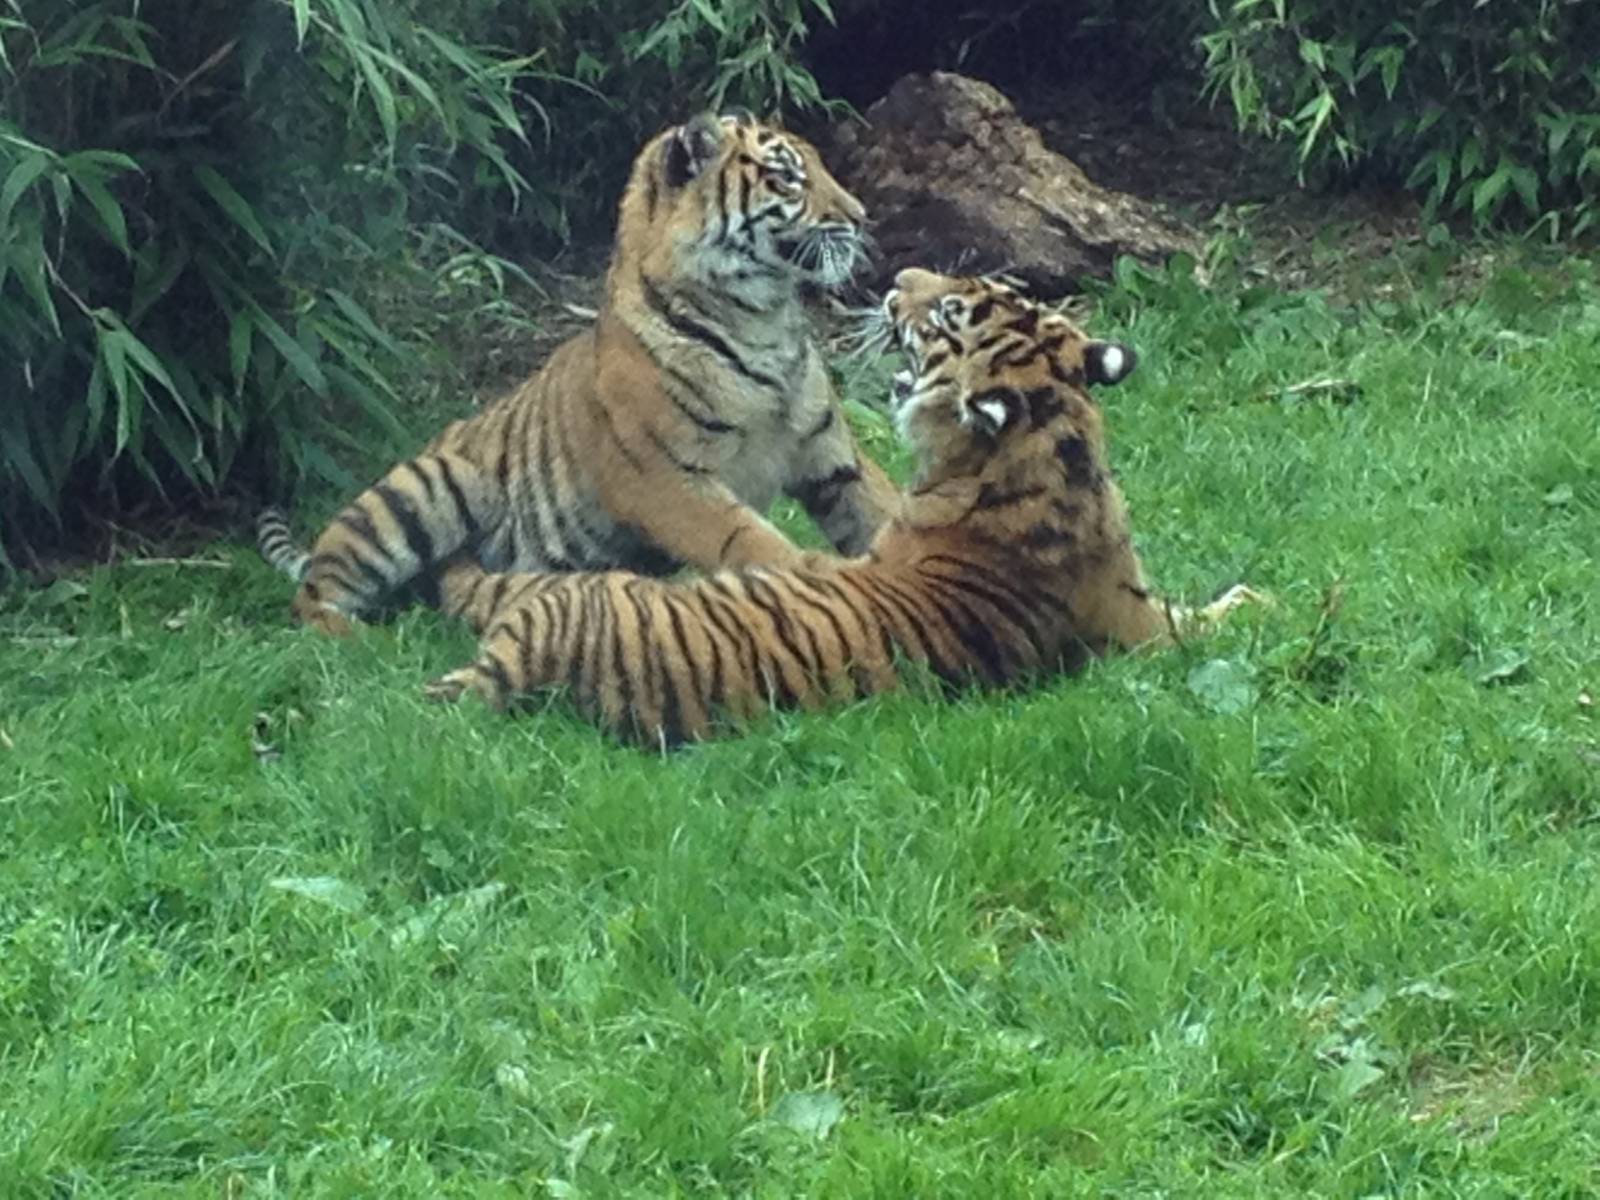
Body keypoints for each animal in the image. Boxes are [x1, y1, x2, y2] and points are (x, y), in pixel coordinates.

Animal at [255, 108, 901, 637]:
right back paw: (352, 637)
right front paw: (815, 575)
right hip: (430, 486)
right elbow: (749, 537)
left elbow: (883, 509)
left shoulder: (832, 455)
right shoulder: (665, 477)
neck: (763, 319)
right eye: (787, 176)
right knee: (314, 591)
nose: (862, 216)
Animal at [419, 267, 1265, 746]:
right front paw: (1261, 601)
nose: (895, 281)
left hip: (584, 591)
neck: (1050, 446)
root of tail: (531, 667)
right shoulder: (1139, 619)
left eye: (949, 314)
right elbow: (1210, 615)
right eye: (975, 296)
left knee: (484, 584)